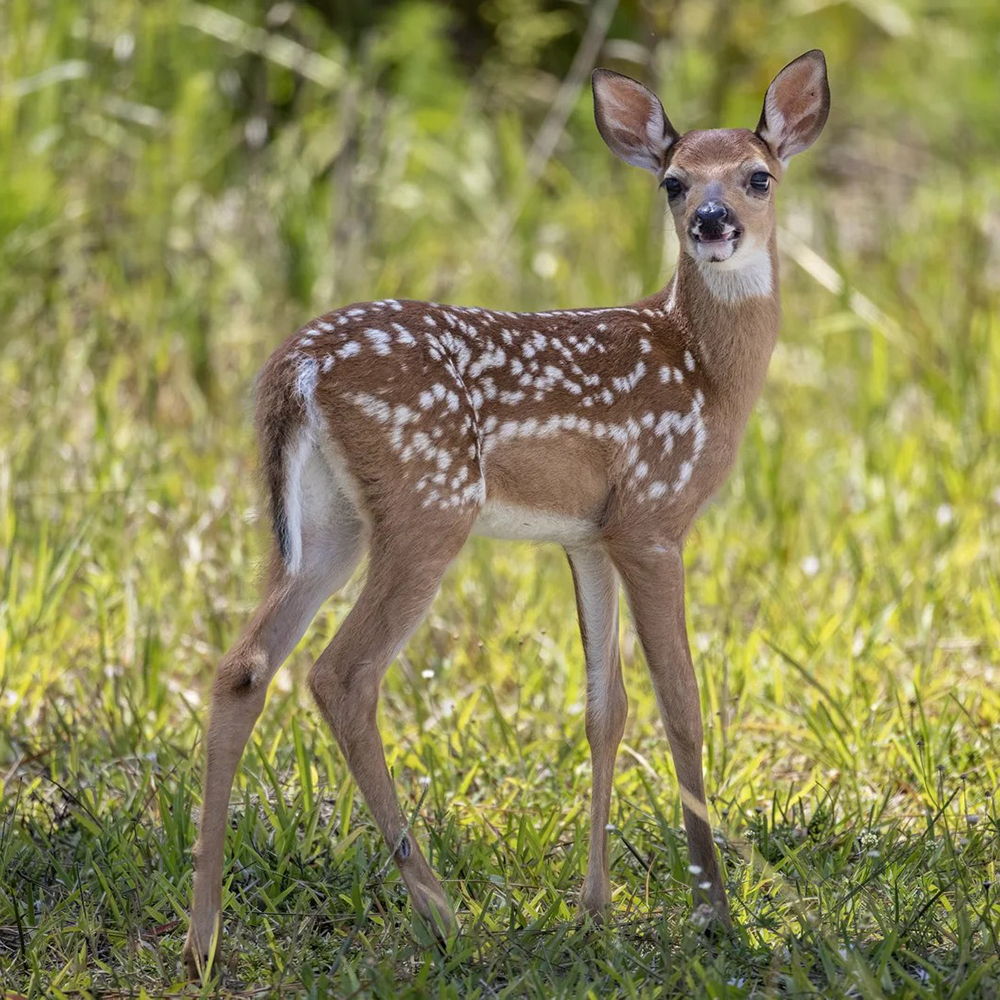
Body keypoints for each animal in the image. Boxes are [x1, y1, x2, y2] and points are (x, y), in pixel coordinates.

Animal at [183, 50, 830, 976]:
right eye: (672, 182)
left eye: (758, 176)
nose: (713, 222)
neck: (707, 372)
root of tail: (294, 370)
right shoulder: (654, 519)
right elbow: (682, 704)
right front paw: (714, 912)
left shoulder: (591, 535)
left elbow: (605, 708)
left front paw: (595, 911)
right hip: (428, 504)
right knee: (342, 673)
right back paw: (443, 914)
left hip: (325, 523)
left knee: (243, 666)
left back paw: (202, 938)